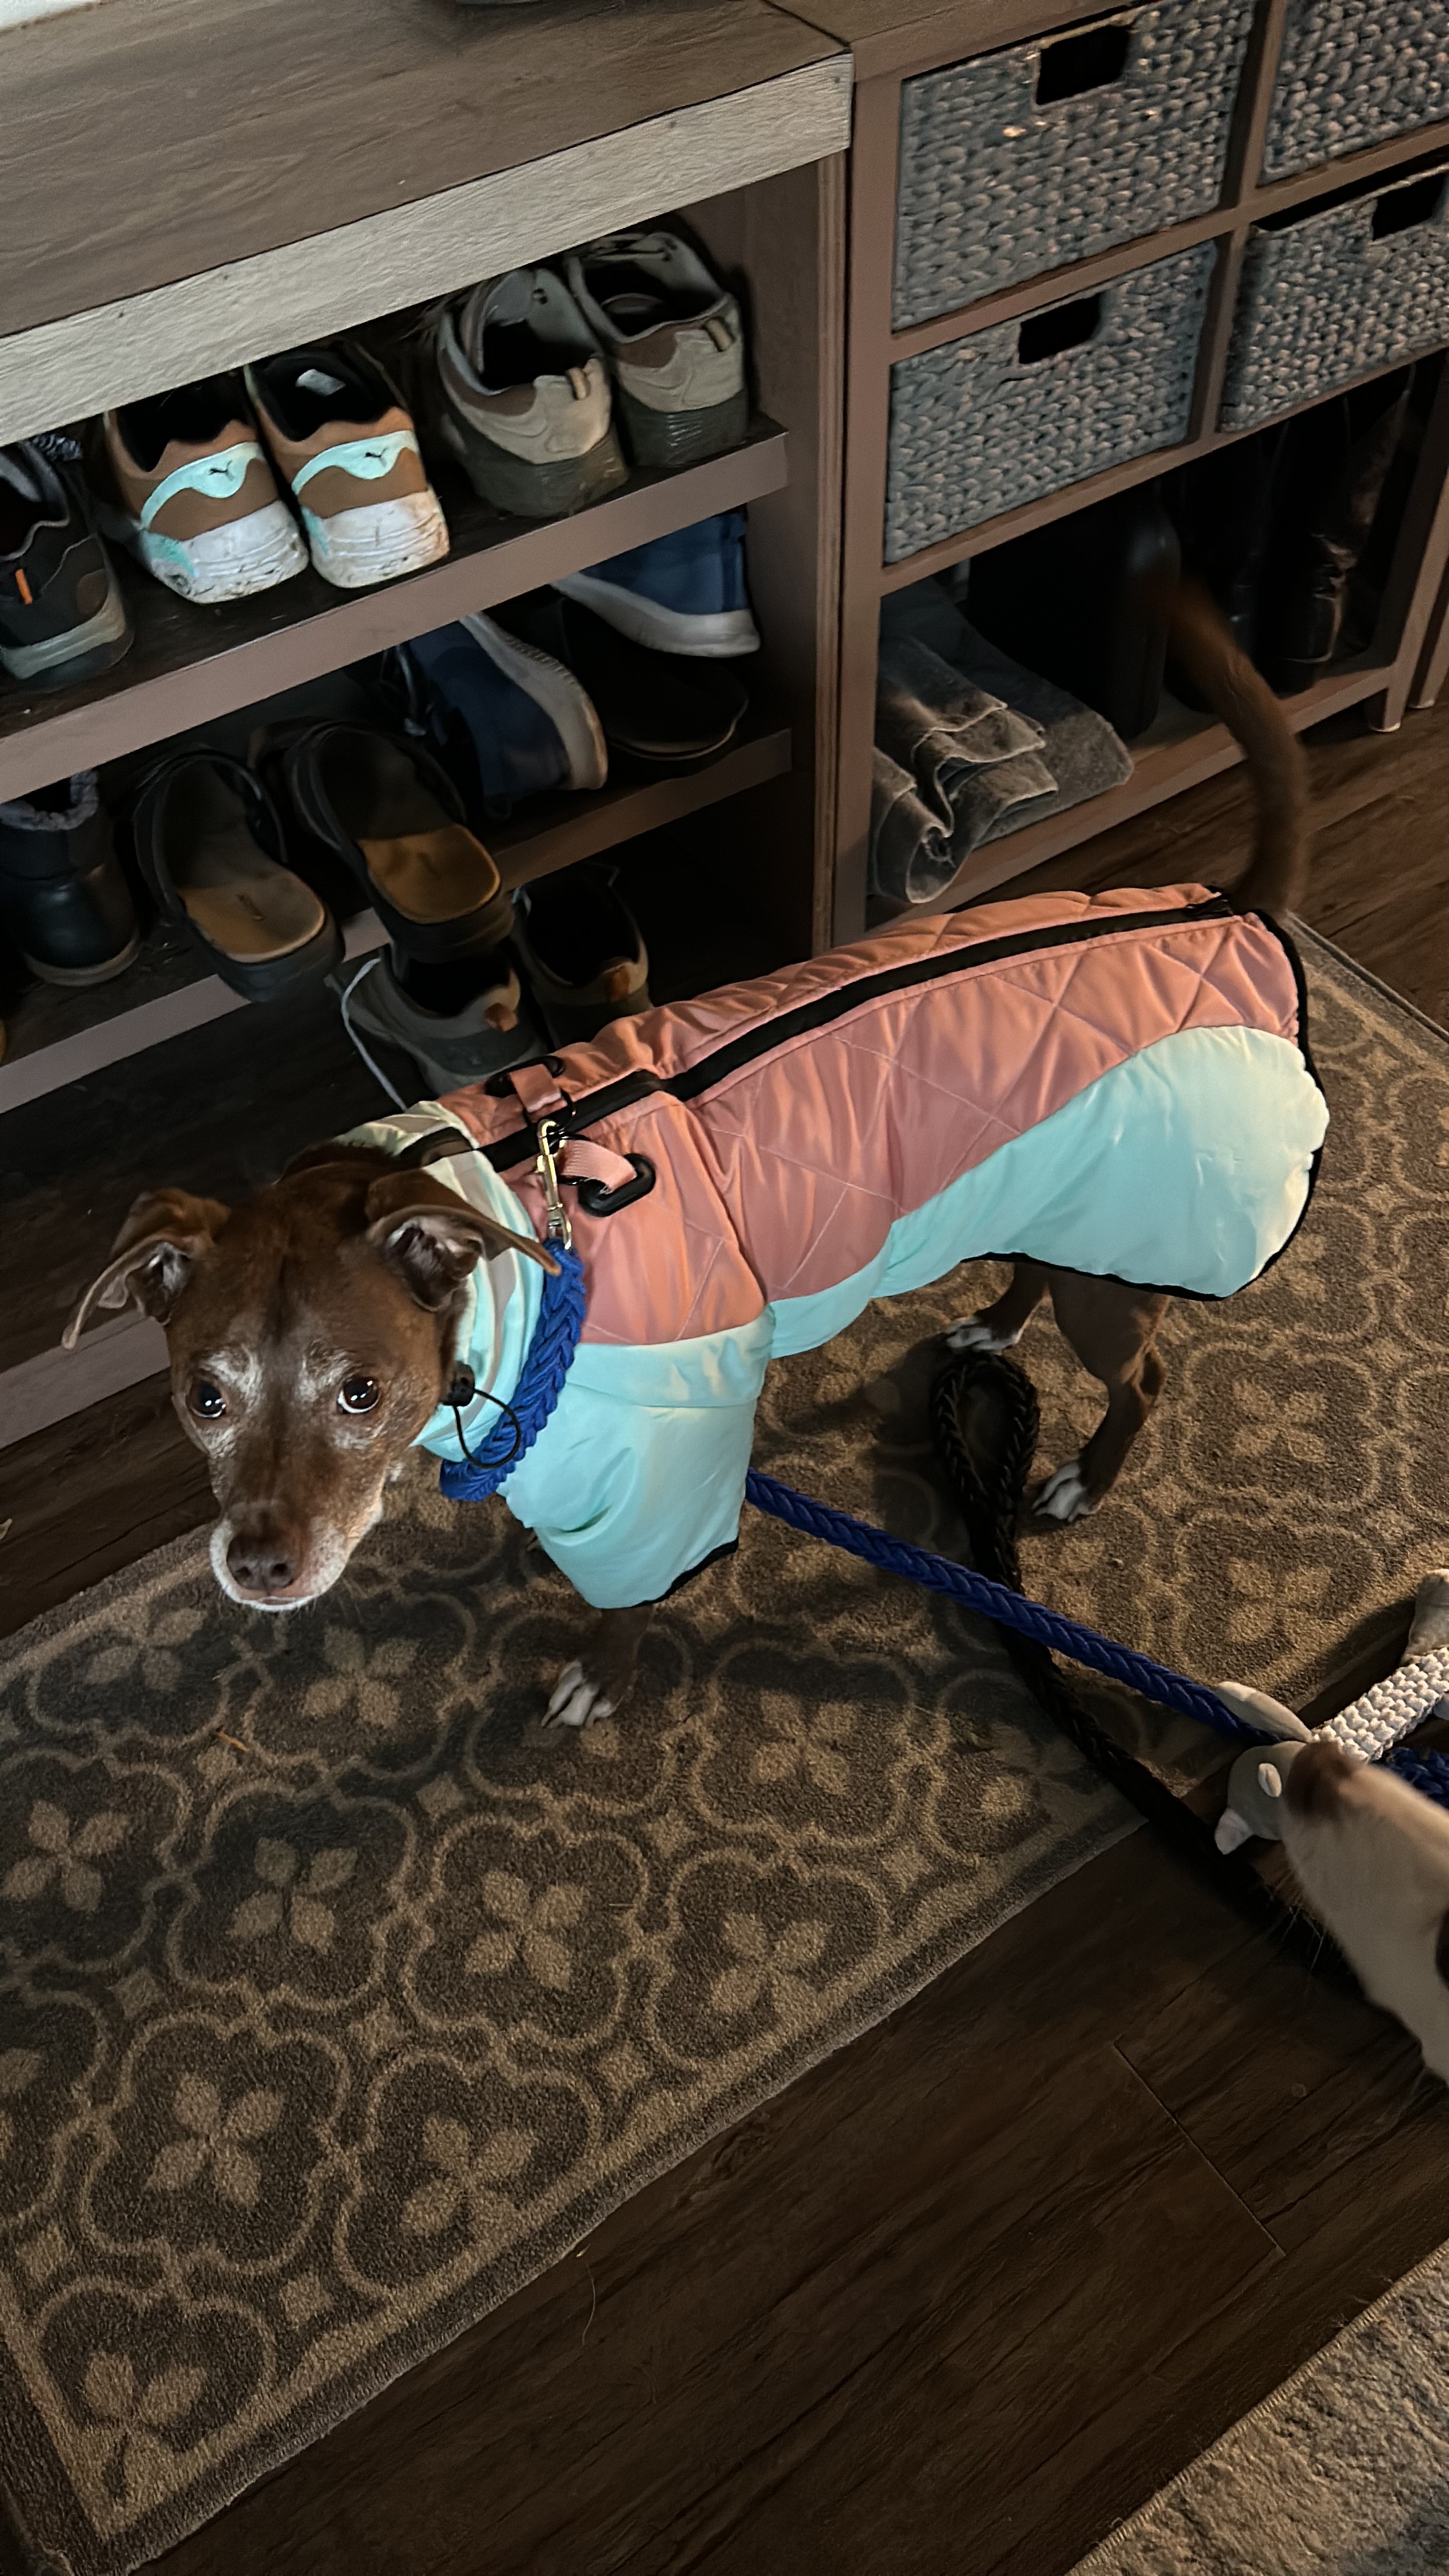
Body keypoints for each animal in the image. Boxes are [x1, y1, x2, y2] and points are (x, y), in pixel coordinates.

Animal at [65, 586, 1326, 1729]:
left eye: (360, 1392)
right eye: (204, 1398)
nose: (258, 1567)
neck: (507, 1223)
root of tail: (1223, 910)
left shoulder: (660, 1474)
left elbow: (625, 1599)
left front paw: (599, 1671)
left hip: (1133, 1260)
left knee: (1143, 1381)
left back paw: (1084, 1476)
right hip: (1064, 1208)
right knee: (1039, 1267)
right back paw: (996, 1325)